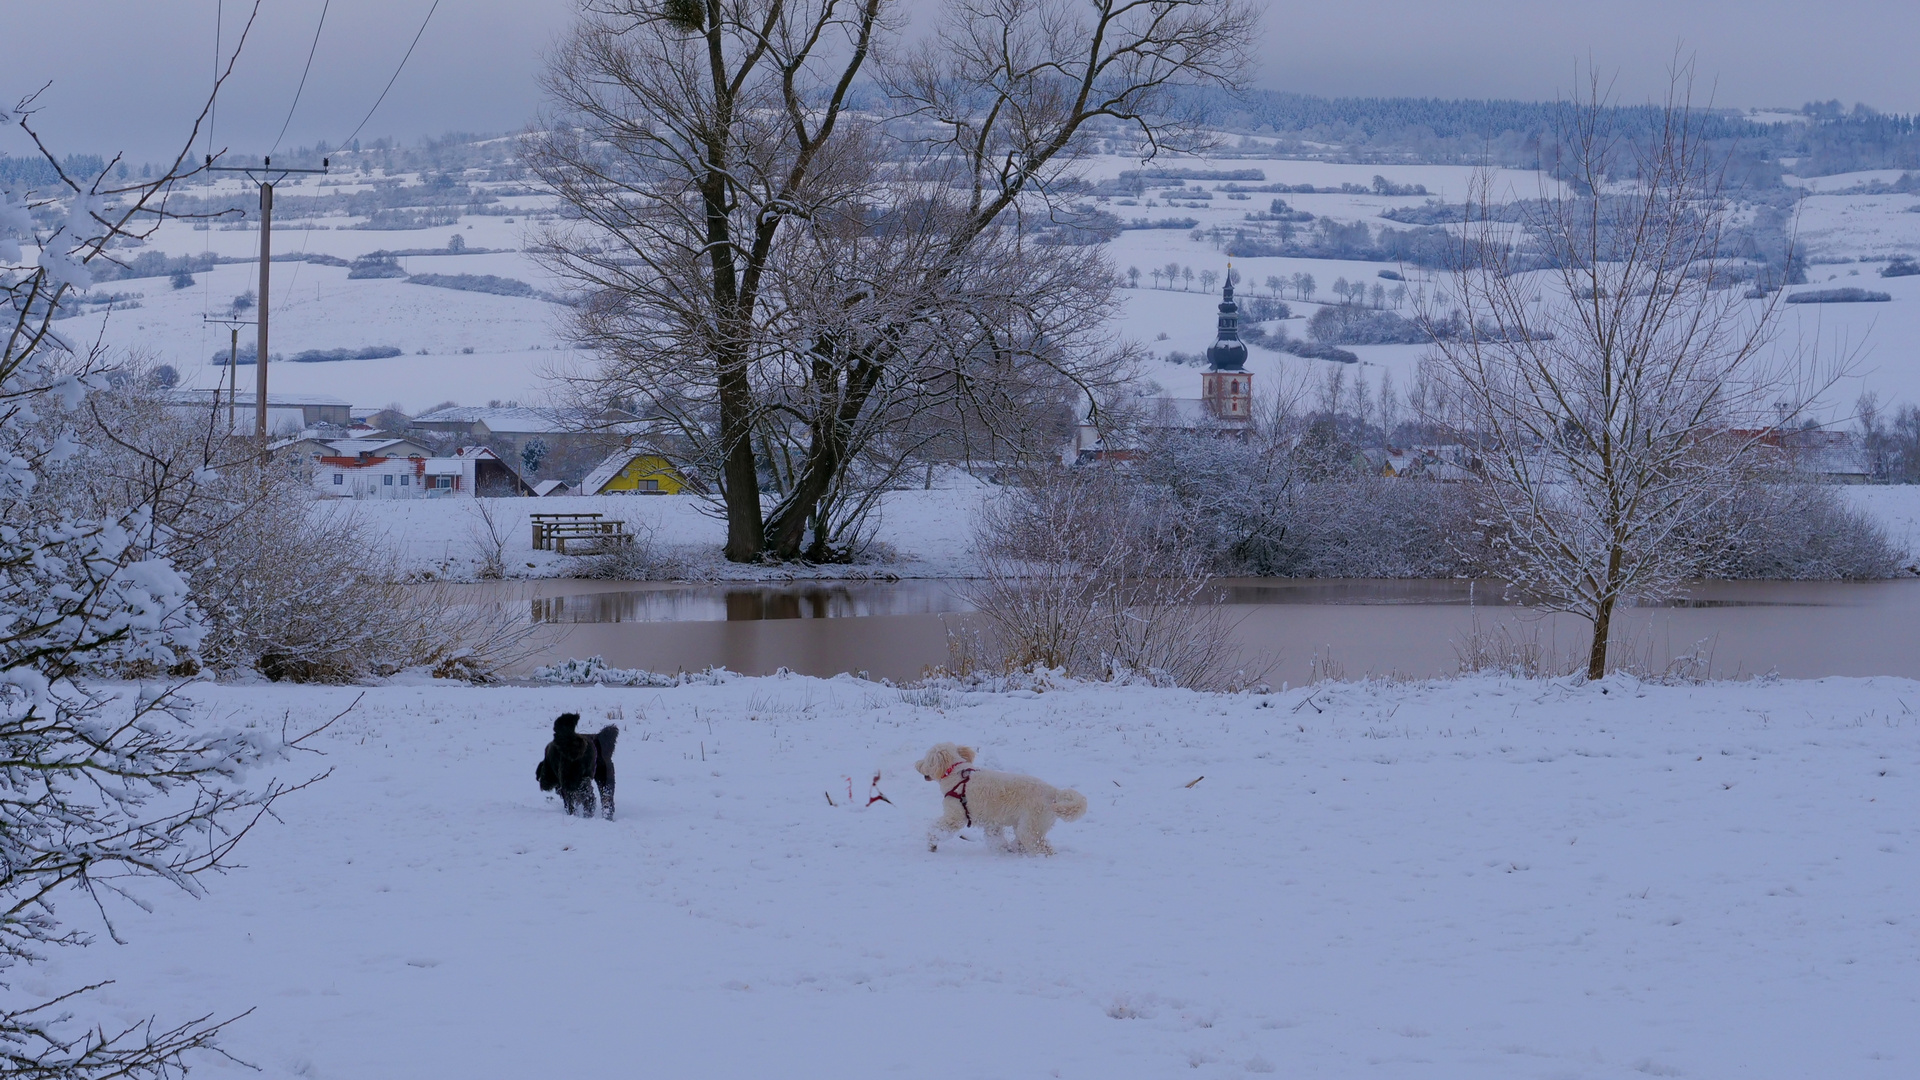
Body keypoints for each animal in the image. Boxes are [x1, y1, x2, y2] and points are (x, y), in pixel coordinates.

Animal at [910, 737, 1082, 849]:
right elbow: (995, 837)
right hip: (1028, 824)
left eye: (926, 759)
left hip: (1032, 826)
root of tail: (1054, 792)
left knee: (1042, 848)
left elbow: (937, 829)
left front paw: (932, 842)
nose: (916, 764)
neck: (956, 774)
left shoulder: (955, 816)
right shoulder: (992, 822)